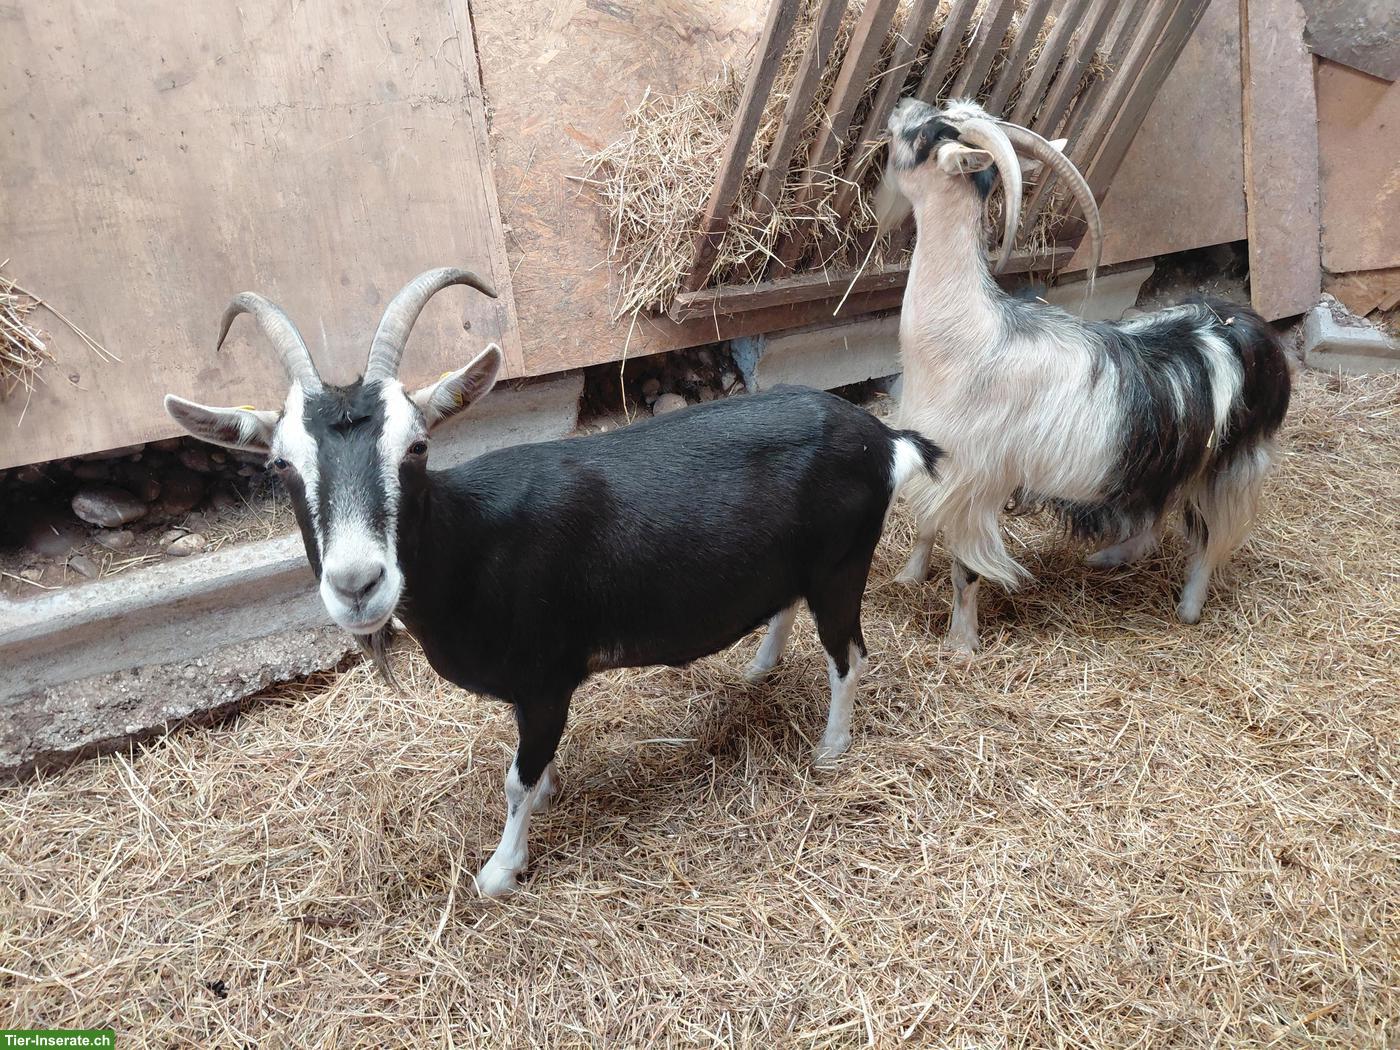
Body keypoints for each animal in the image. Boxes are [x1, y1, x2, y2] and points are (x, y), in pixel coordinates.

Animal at [164, 269, 941, 896]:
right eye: (281, 465)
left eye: (416, 447)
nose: (358, 583)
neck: (471, 545)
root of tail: (884, 438)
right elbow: (529, 770)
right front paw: (542, 804)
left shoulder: (546, 679)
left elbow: (517, 776)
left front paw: (499, 871)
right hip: (800, 565)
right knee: (789, 610)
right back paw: (760, 667)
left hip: (843, 565)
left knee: (850, 655)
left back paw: (831, 750)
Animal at [879, 98, 1291, 652]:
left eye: (924, 135)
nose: (902, 105)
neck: (968, 334)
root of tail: (1245, 330)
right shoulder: (941, 455)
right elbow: (926, 523)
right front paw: (908, 577)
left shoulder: (977, 479)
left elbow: (965, 571)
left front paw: (961, 646)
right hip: (1166, 457)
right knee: (1155, 509)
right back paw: (1110, 556)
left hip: (1227, 466)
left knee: (1208, 537)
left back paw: (1188, 608)